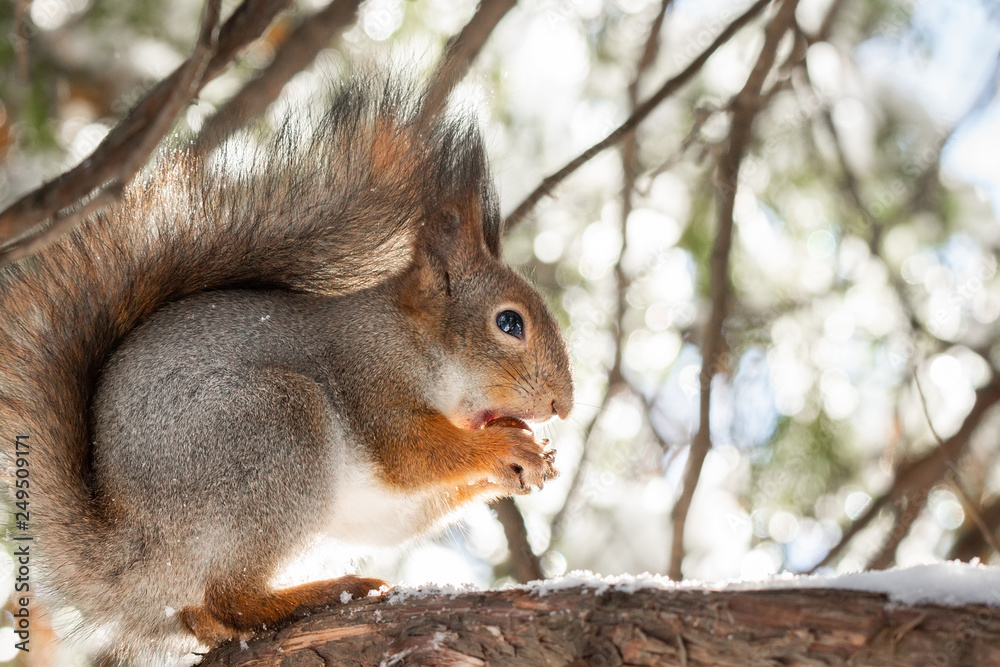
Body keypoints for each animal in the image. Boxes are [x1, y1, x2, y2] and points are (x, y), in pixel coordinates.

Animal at [0, 78, 574, 664]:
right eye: (509, 322)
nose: (563, 405)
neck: (414, 341)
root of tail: (134, 545)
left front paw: (528, 460)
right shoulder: (371, 376)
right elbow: (411, 453)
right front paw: (507, 448)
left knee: (202, 613)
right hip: (274, 432)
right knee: (233, 598)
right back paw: (317, 595)